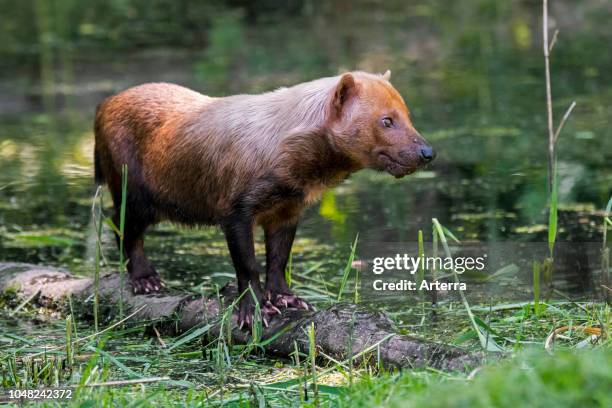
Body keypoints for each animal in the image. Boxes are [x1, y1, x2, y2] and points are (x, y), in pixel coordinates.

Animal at [93, 71, 436, 328]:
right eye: (387, 120)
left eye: (407, 115)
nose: (427, 152)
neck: (280, 152)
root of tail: (104, 105)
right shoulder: (236, 211)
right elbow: (247, 265)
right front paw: (255, 312)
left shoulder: (287, 210)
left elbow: (279, 259)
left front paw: (289, 299)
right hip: (133, 192)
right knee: (120, 225)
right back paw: (146, 280)